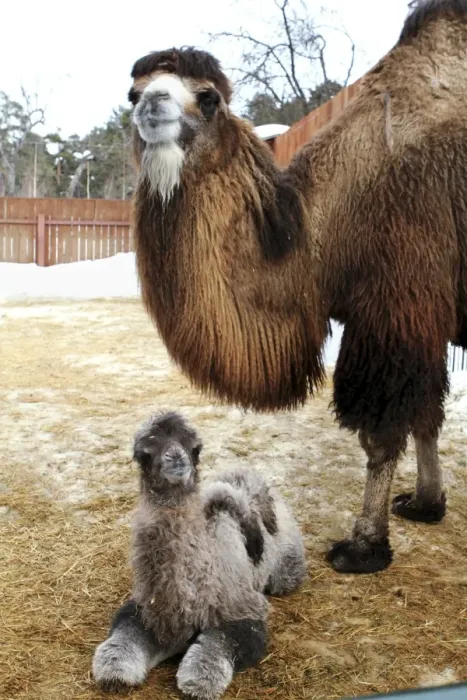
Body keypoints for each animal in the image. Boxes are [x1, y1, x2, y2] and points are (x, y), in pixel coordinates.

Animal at [127, 0, 467, 574]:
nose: (151, 105)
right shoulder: (422, 314)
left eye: (209, 97)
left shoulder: (397, 302)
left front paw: (364, 545)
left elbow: (383, 433)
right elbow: (427, 416)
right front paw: (425, 504)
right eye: (132, 92)